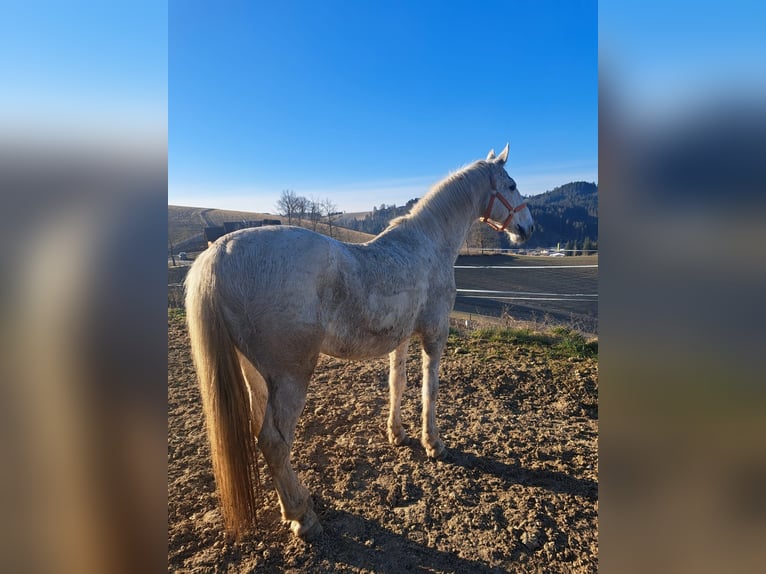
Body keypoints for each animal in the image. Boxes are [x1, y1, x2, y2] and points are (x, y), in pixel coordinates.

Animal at [185, 146, 536, 544]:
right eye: (511, 185)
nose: (528, 228)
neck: (426, 245)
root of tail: (219, 252)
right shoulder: (435, 334)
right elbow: (430, 389)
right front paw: (434, 443)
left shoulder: (401, 337)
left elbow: (397, 384)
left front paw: (397, 434)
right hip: (291, 376)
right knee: (274, 442)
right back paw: (302, 516)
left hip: (256, 373)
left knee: (269, 436)